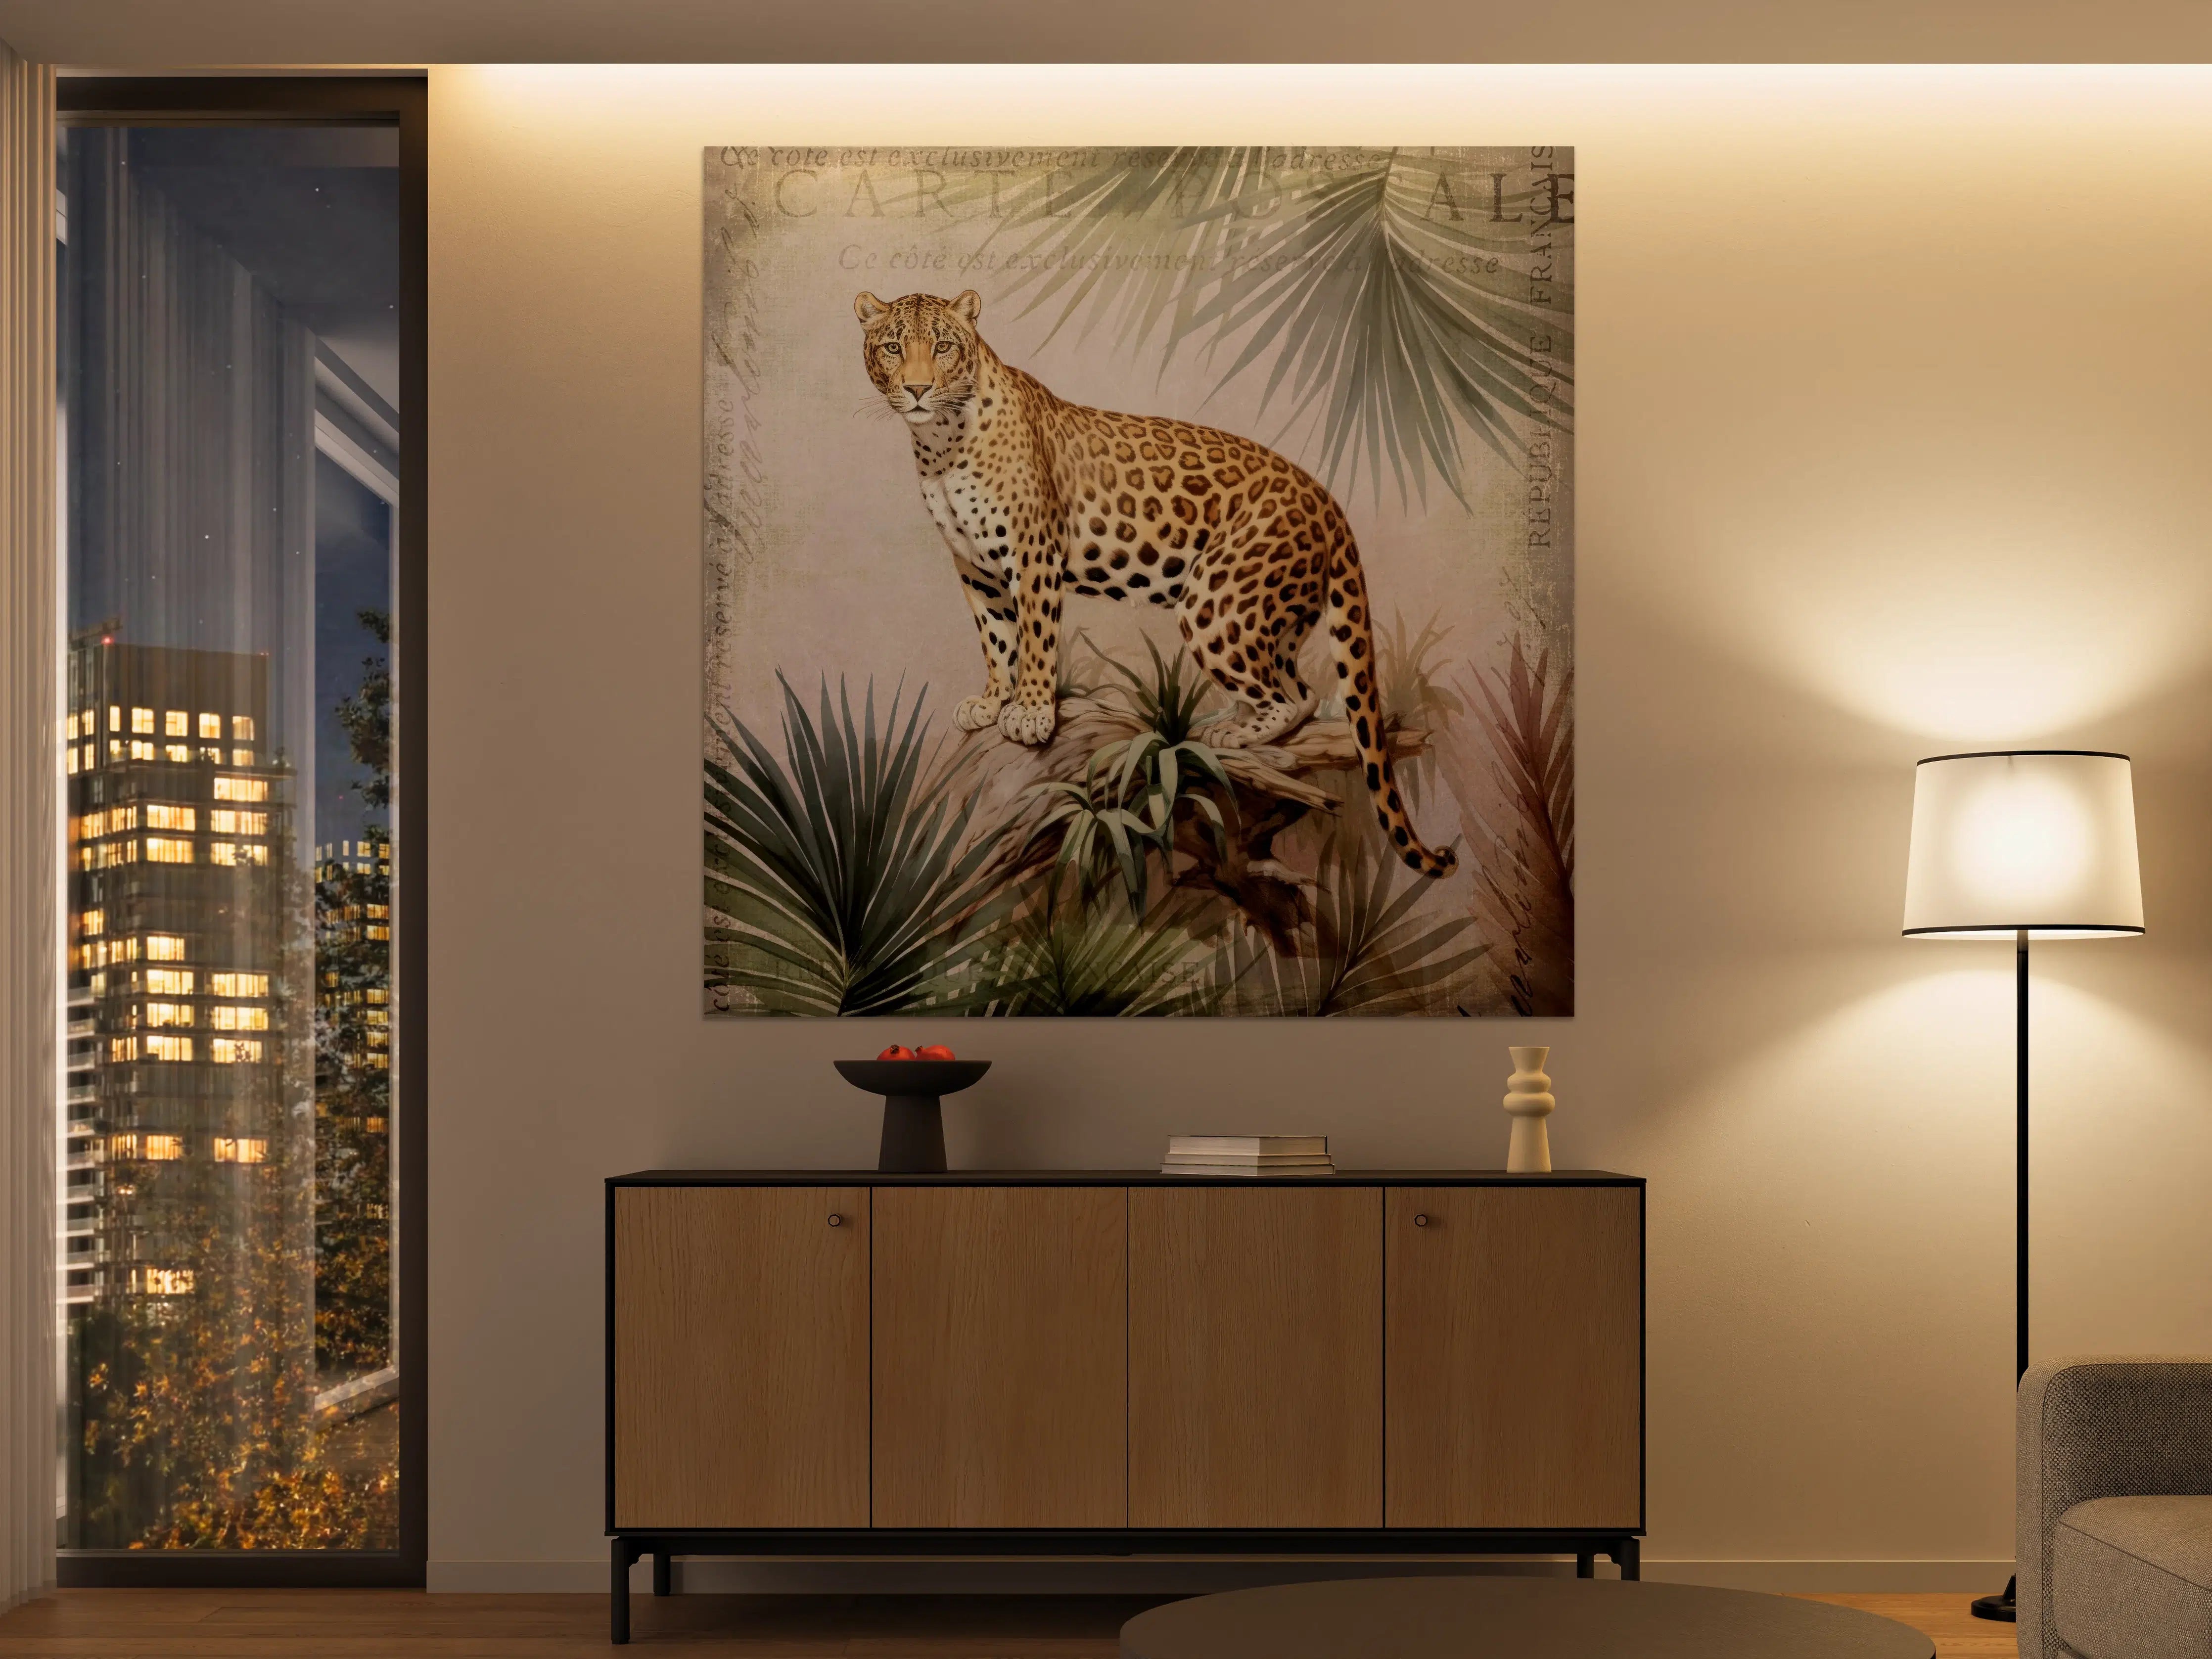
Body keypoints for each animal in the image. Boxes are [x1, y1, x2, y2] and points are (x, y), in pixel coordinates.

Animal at [855, 287, 1455, 878]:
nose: (917, 389)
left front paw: (1031, 711)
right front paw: (992, 700)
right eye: (892, 347)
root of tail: (1328, 501)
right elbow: (997, 640)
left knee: (1290, 697)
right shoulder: (976, 568)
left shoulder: (1033, 555)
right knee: (1300, 691)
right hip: (1270, 613)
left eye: (943, 346)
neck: (941, 444)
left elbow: (1035, 640)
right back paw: (1228, 718)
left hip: (1217, 602)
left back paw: (1229, 732)